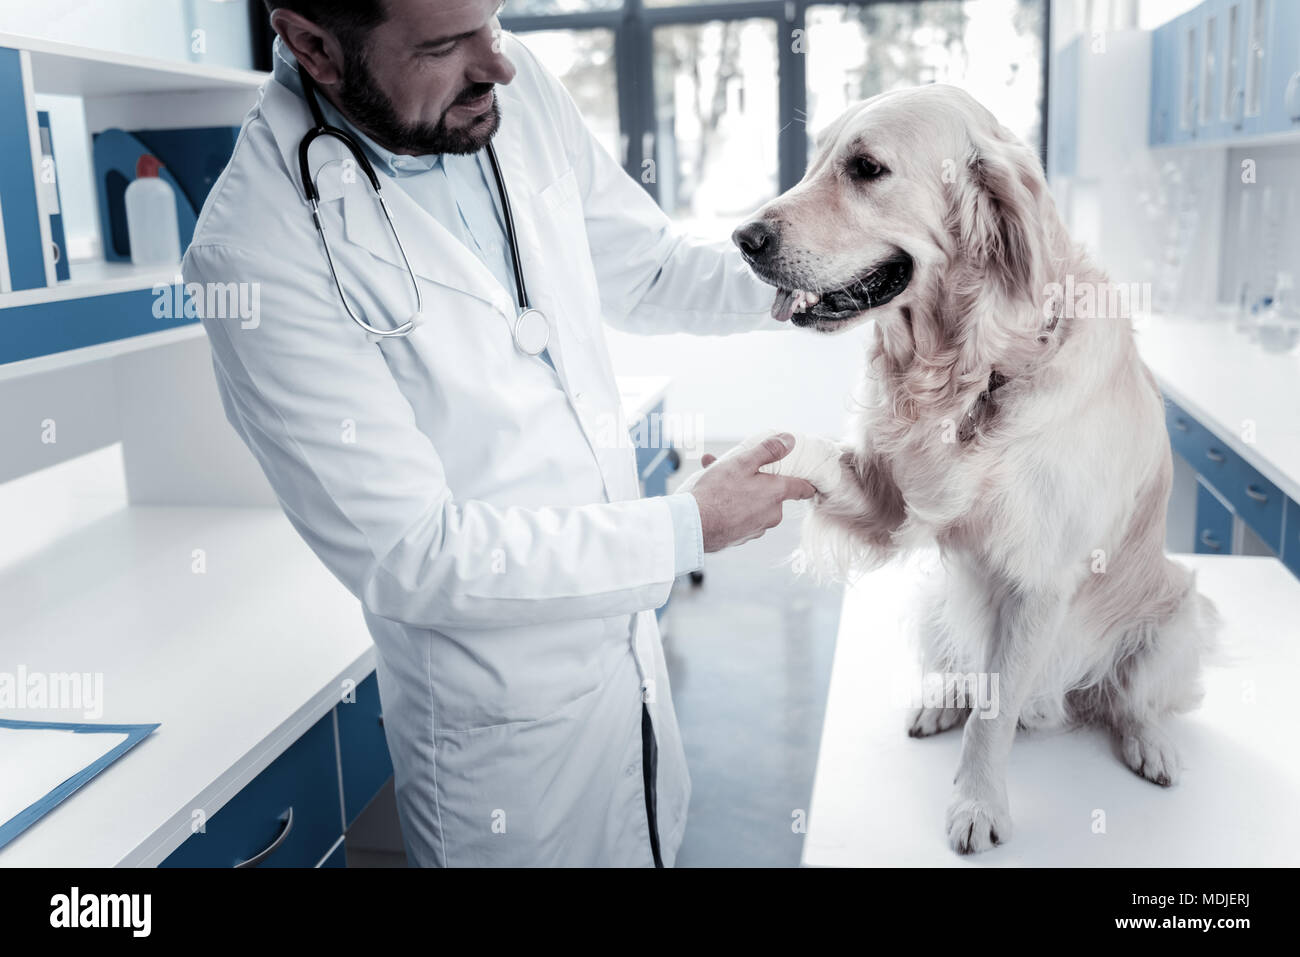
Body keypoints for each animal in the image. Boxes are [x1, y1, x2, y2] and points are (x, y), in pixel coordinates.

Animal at [743, 85, 1216, 858]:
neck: (973, 365)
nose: (743, 238)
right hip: (935, 602)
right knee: (967, 673)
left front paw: (976, 804)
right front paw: (740, 458)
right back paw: (940, 702)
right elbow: (817, 457)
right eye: (816, 162)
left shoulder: (1039, 580)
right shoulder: (887, 501)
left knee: (1129, 699)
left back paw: (1148, 743)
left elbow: (993, 719)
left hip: (1178, 615)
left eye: (866, 168)